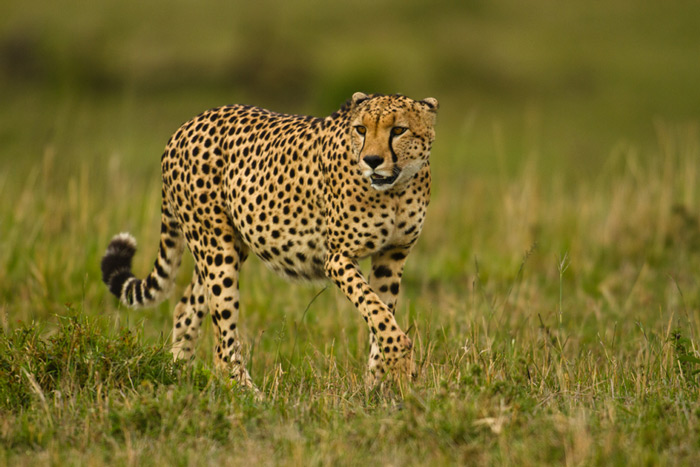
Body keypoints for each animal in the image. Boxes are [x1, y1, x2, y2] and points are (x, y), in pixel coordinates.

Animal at [100, 90, 438, 388]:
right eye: (361, 129)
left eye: (398, 130)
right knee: (222, 341)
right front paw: (398, 359)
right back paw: (248, 395)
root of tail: (187, 125)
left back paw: (178, 376)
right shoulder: (338, 257)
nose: (371, 160)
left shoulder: (392, 254)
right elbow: (376, 310)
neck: (396, 189)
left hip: (225, 246)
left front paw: (377, 386)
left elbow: (380, 313)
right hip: (216, 248)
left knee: (186, 309)